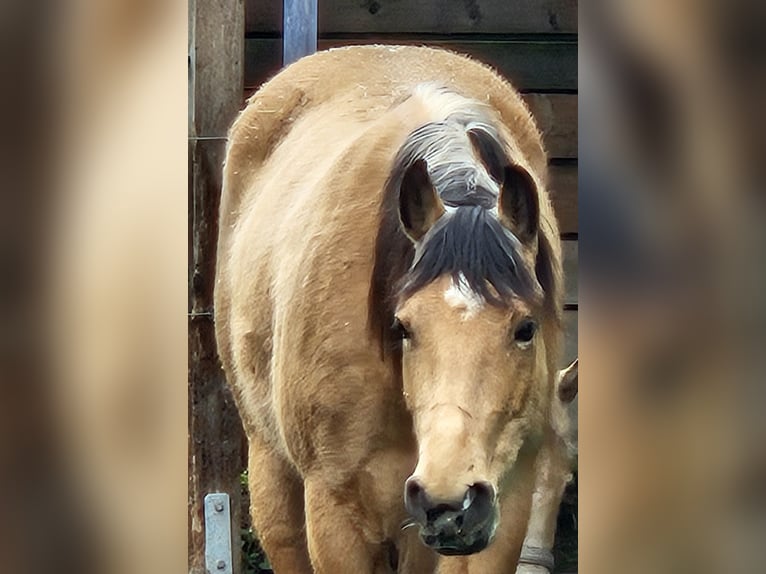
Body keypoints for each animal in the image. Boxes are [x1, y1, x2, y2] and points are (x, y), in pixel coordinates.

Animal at [215, 45, 564, 573]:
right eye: (404, 327)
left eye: (526, 328)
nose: (450, 501)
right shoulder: (336, 514)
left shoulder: (505, 509)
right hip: (272, 472)